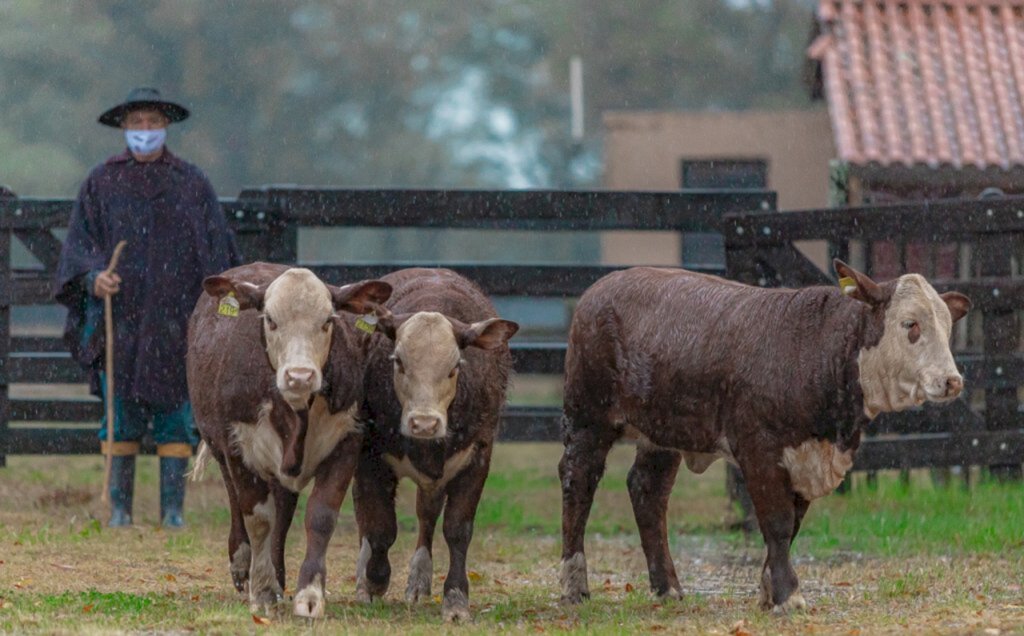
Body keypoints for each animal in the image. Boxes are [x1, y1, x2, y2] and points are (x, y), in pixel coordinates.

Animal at [186, 262, 389, 614]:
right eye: (270, 319)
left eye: (328, 320)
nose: (299, 376)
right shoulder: (238, 446)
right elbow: (257, 519)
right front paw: (263, 591)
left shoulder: (346, 441)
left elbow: (320, 516)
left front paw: (309, 594)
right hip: (220, 446)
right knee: (236, 500)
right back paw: (244, 565)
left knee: (283, 508)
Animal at [354, 266, 516, 618]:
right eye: (398, 361)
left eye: (455, 366)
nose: (425, 423)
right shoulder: (370, 456)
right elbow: (380, 527)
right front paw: (375, 580)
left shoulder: (477, 457)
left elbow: (457, 529)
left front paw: (455, 599)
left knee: (426, 515)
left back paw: (418, 581)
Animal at [561, 262, 966, 610]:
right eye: (910, 324)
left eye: (948, 328)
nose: (952, 381)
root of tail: (602, 287)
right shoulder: (760, 449)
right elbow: (777, 522)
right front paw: (788, 596)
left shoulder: (805, 459)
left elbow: (792, 525)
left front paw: (770, 591)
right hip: (587, 416)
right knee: (578, 481)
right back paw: (574, 586)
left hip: (661, 431)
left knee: (648, 490)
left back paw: (668, 588)